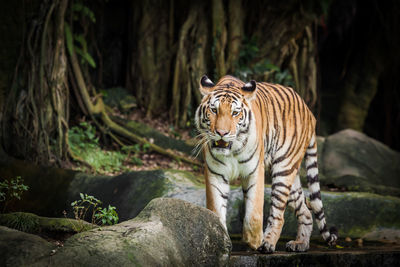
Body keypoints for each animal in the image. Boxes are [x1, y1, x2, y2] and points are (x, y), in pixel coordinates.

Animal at [195, 75, 338, 253]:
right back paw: (300, 244)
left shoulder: (255, 170)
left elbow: (254, 212)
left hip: (283, 170)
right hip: (292, 181)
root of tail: (309, 112)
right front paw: (219, 241)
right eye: (214, 110)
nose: (222, 133)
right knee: (305, 211)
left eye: (235, 113)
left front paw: (254, 241)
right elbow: (216, 209)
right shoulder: (216, 174)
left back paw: (267, 244)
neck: (232, 150)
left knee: (278, 215)